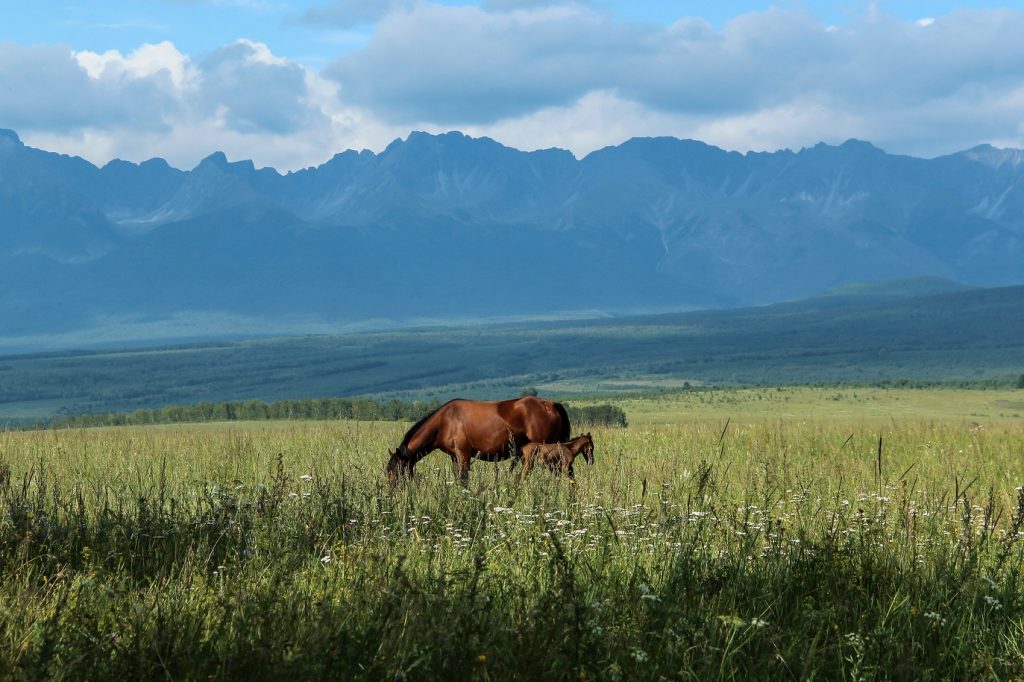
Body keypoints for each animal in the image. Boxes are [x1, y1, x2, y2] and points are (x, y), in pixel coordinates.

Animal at [385, 395, 573, 481]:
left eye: (396, 472)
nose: (393, 493)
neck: (444, 421)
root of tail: (552, 405)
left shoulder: (463, 453)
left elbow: (463, 478)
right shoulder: (454, 456)